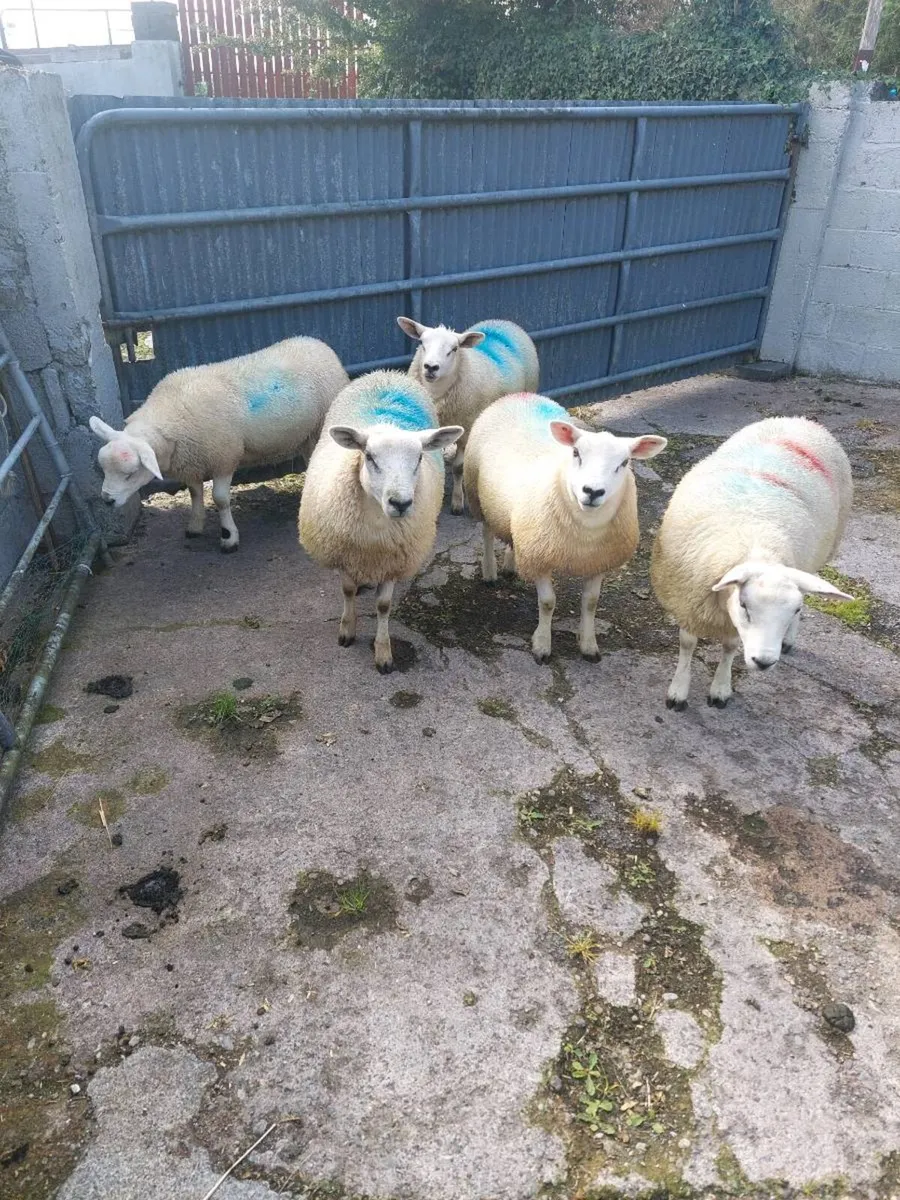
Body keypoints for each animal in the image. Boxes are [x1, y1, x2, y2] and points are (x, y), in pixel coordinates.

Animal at [89, 337, 349, 552]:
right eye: (104, 470)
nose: (107, 500)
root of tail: (318, 344)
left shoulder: (225, 457)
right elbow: (195, 493)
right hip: (306, 435)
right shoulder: (192, 460)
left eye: (130, 474)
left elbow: (221, 499)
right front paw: (195, 525)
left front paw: (228, 537)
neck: (172, 417)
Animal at [298, 370, 463, 673]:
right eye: (369, 456)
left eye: (419, 457)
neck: (375, 528)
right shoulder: (345, 554)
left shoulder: (392, 561)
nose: (401, 503)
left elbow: (384, 606)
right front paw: (347, 630)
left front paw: (384, 653)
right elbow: (347, 590)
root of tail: (387, 374)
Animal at [397, 316, 539, 515]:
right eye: (422, 344)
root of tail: (503, 321)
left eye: (454, 349)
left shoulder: (467, 429)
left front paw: (457, 502)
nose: (431, 367)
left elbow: (458, 467)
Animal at [463, 392, 667, 664]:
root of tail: (519, 395)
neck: (585, 534)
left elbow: (591, 602)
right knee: (486, 533)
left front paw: (588, 644)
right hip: (478, 496)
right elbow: (548, 602)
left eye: (624, 462)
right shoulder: (539, 557)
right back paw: (490, 572)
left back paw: (510, 565)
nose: (592, 491)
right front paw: (542, 645)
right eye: (576, 453)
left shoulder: (598, 561)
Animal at [650, 416, 853, 711]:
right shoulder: (688, 598)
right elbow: (687, 643)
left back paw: (789, 640)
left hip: (816, 557)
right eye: (745, 605)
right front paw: (678, 691)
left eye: (793, 610)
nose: (764, 662)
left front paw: (720, 689)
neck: (756, 550)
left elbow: (730, 647)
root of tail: (800, 420)